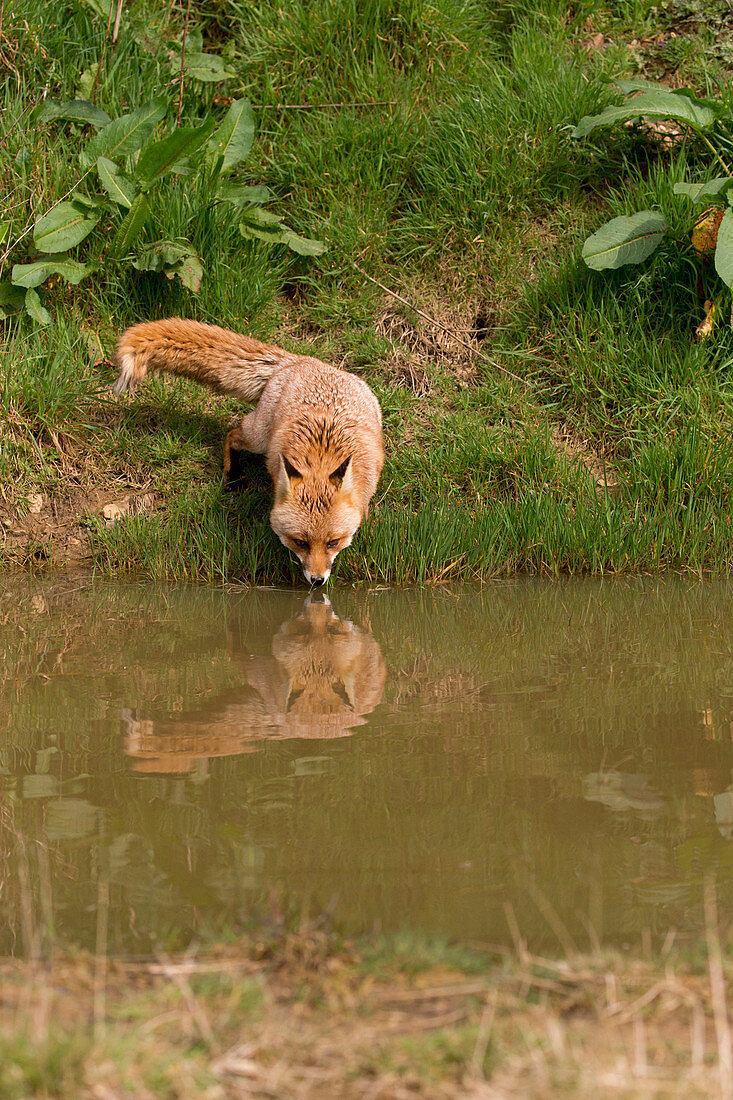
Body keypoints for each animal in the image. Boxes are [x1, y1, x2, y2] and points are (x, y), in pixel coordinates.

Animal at [112, 319, 383, 585]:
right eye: (300, 542)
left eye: (333, 542)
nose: (317, 580)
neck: (320, 456)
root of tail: (302, 361)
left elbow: (362, 513)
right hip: (259, 437)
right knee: (232, 435)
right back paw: (232, 477)